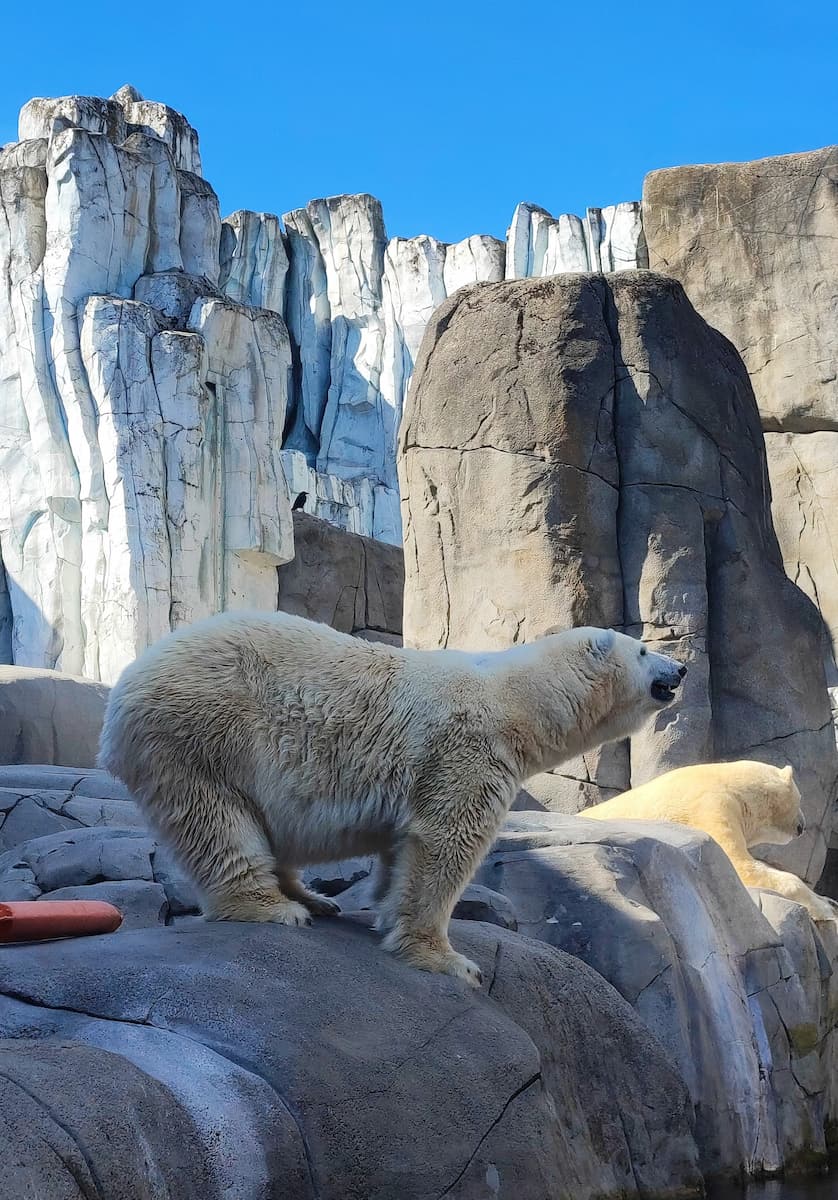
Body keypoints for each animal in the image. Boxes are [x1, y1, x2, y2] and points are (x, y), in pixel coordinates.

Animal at [99, 609, 686, 984]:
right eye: (642, 649)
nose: (680, 667)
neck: (514, 700)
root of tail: (126, 684)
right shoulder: (467, 749)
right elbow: (446, 843)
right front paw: (449, 960)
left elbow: (401, 846)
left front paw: (381, 904)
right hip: (200, 731)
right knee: (217, 820)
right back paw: (272, 908)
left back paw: (314, 897)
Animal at [578, 763, 830, 921]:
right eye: (800, 798)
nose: (802, 825)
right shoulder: (711, 805)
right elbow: (738, 864)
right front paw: (827, 909)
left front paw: (825, 899)